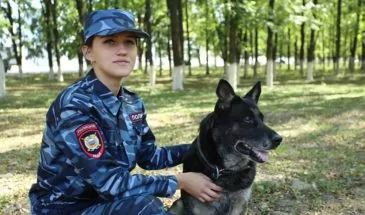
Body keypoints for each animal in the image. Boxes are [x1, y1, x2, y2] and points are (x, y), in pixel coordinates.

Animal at [168, 80, 282, 214]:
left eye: (262, 119)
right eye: (247, 119)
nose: (279, 139)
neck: (226, 170)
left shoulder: (239, 205)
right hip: (177, 205)